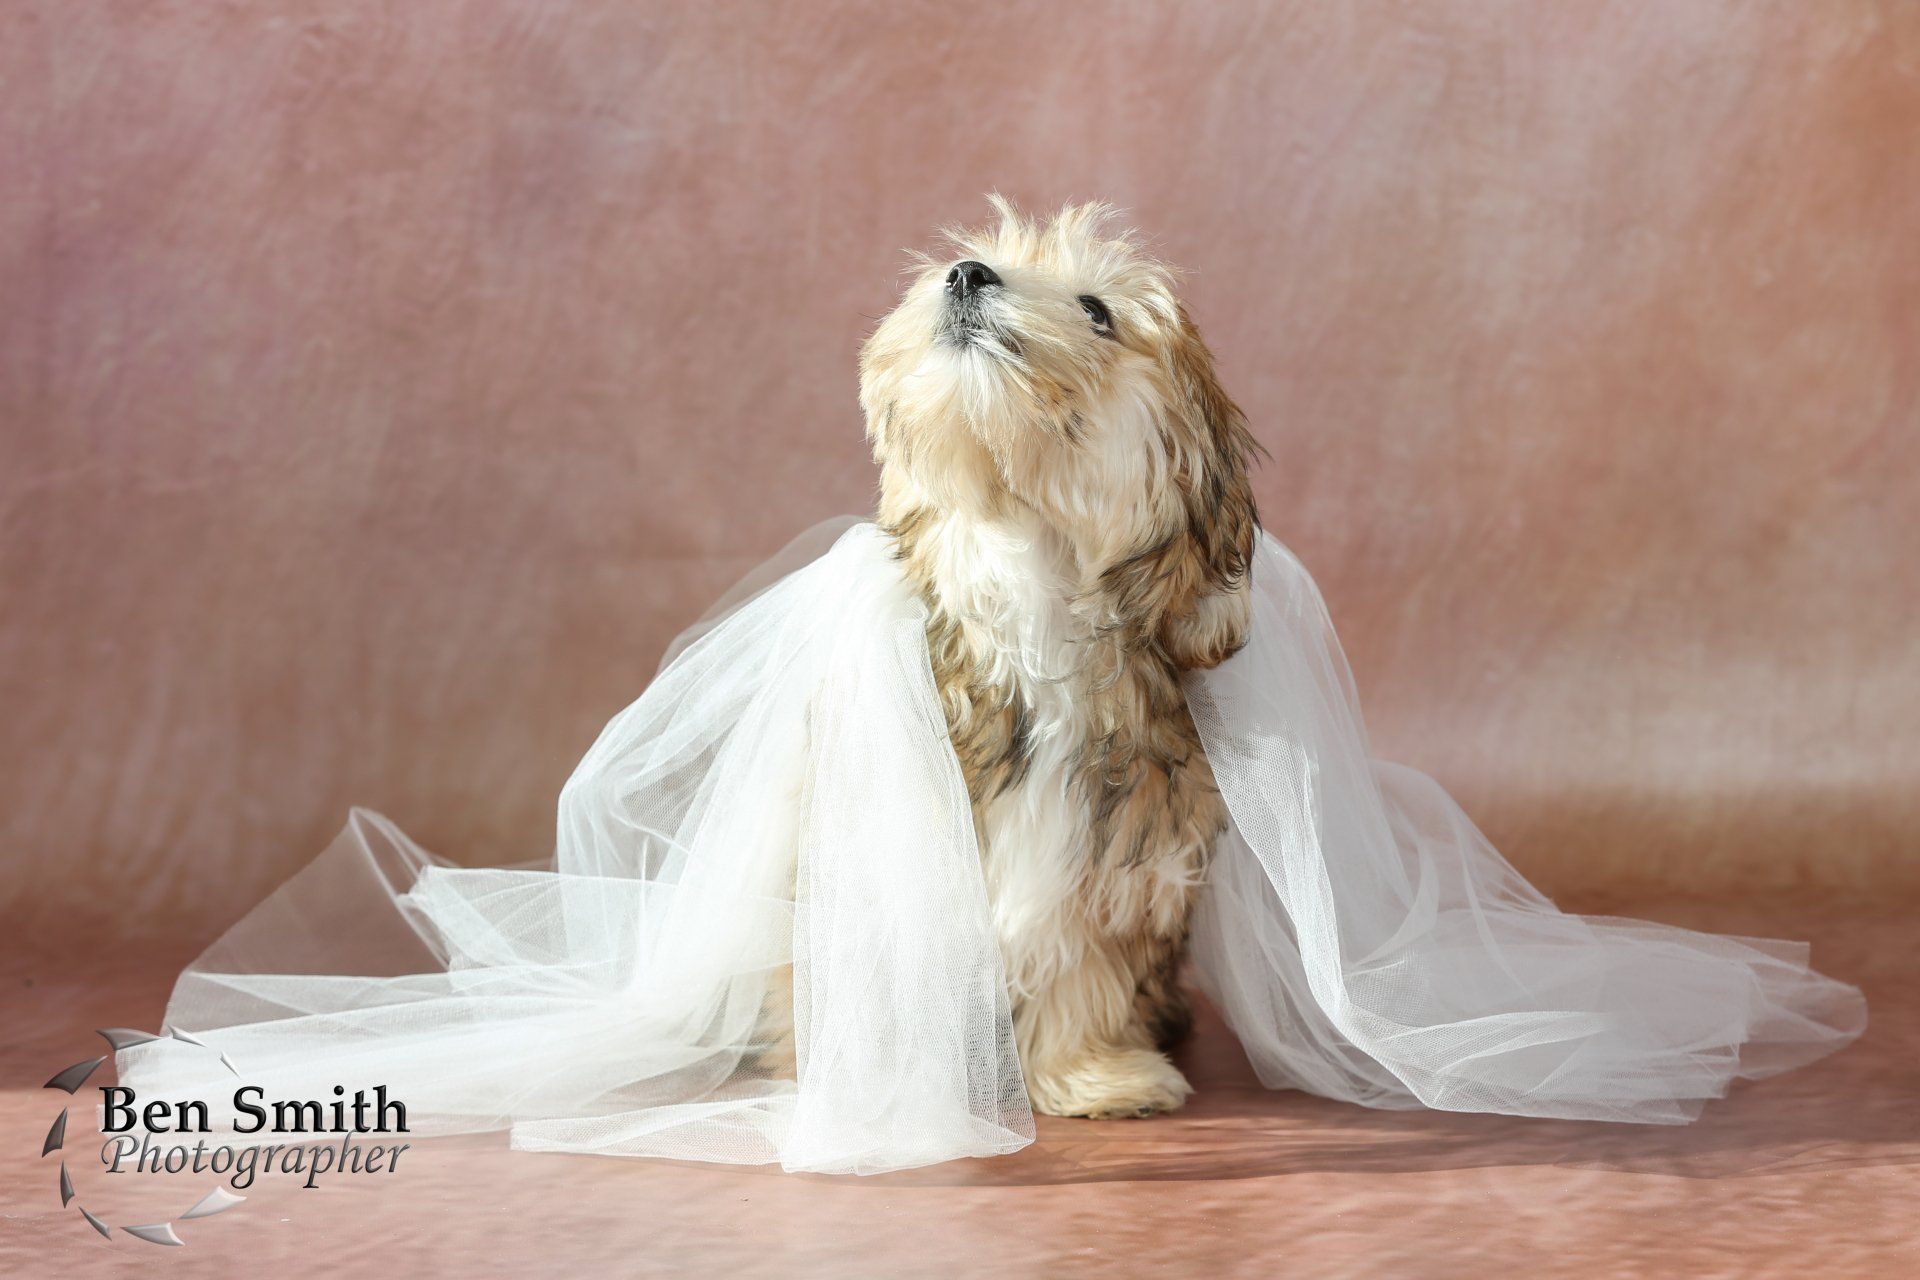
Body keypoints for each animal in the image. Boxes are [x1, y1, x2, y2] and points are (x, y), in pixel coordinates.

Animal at [858, 198, 1259, 1118]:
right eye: (977, 260)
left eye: (1097, 311)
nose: (966, 274)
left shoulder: (1108, 864)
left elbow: (1081, 971)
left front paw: (1092, 1074)